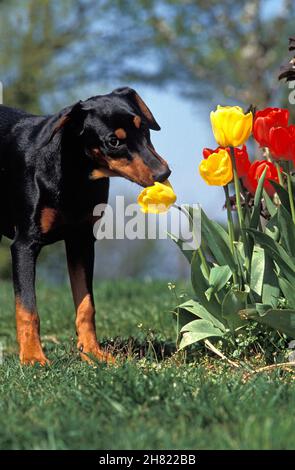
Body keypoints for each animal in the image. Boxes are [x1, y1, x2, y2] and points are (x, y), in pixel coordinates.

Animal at [0, 89, 171, 368]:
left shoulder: (81, 242)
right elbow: (27, 308)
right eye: (113, 141)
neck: (75, 175)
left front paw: (92, 353)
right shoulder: (25, 244)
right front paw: (33, 358)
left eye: (144, 128)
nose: (163, 173)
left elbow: (86, 305)